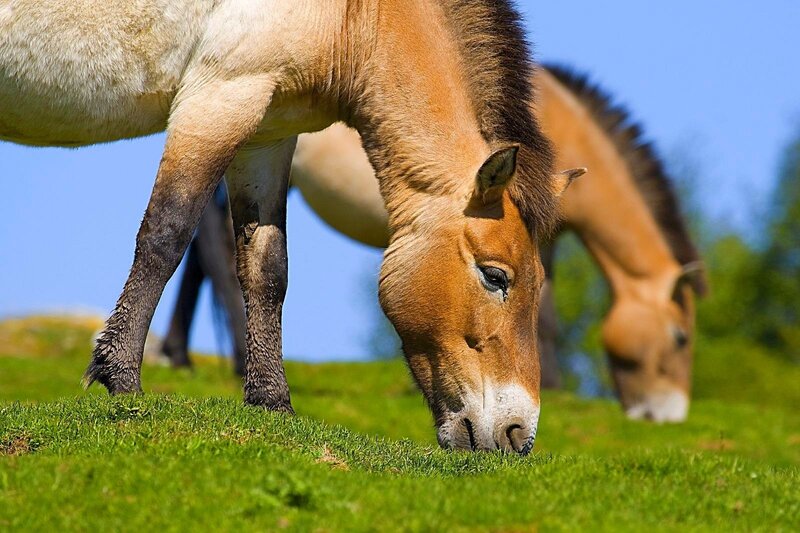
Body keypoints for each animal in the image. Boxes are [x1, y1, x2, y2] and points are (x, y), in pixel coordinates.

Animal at [1, 0, 573, 453]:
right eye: (495, 276)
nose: (519, 435)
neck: (357, 12)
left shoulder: (267, 131)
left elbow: (266, 269)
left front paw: (272, 402)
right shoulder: (218, 97)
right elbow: (166, 234)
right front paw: (120, 377)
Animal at [161, 65, 706, 423]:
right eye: (681, 338)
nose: (669, 415)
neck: (562, 124)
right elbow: (546, 312)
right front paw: (551, 383)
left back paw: (181, 354)